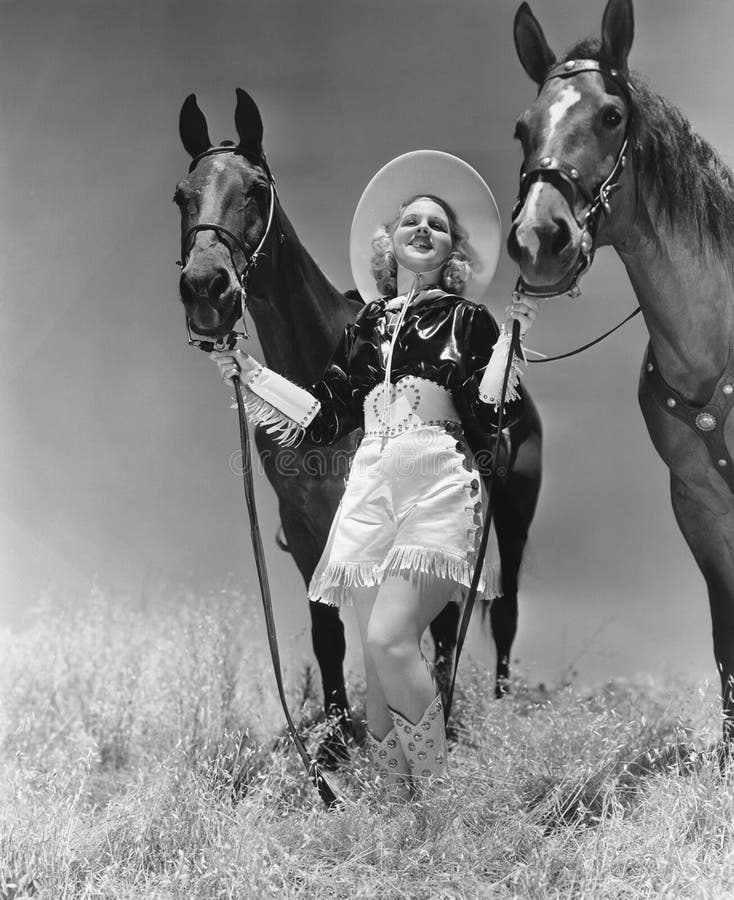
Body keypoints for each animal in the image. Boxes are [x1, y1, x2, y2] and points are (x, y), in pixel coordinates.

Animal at [175, 91, 544, 752]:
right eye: (181, 195)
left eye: (257, 189)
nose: (206, 287)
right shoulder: (303, 529)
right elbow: (330, 634)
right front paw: (337, 741)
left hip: (512, 511)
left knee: (499, 613)